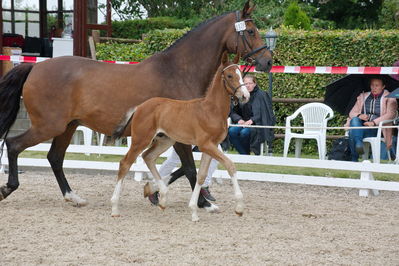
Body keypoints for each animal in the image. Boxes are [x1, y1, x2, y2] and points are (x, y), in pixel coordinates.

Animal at [112, 53, 248, 220]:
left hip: (165, 140)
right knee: (125, 163)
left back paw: (162, 197)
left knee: (148, 157)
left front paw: (194, 211)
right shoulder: (206, 145)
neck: (211, 110)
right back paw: (115, 208)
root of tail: (140, 107)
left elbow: (201, 175)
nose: (245, 96)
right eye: (229, 75)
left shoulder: (212, 146)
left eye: (241, 74)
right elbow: (230, 165)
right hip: (141, 140)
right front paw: (239, 208)